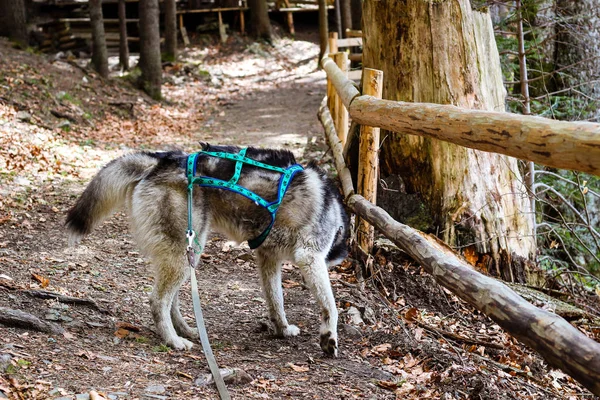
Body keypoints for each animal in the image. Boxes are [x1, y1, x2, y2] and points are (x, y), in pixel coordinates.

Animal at [65, 144, 350, 356]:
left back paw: (186, 331)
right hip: (188, 250)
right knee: (157, 300)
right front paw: (329, 338)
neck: (335, 210)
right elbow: (331, 306)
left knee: (171, 300)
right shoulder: (310, 258)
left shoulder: (268, 259)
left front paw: (282, 329)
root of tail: (162, 160)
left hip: (187, 252)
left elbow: (276, 300)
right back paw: (173, 340)